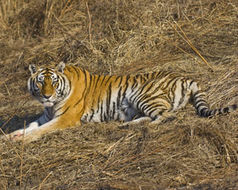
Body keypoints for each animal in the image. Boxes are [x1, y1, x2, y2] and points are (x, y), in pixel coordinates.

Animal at [4, 61, 237, 142]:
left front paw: (22, 140)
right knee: (150, 116)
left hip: (141, 94)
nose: (46, 96)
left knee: (166, 115)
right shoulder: (45, 115)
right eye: (40, 82)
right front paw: (11, 135)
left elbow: (40, 130)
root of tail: (184, 77)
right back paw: (126, 125)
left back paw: (143, 126)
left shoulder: (65, 118)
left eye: (53, 82)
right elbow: (31, 124)